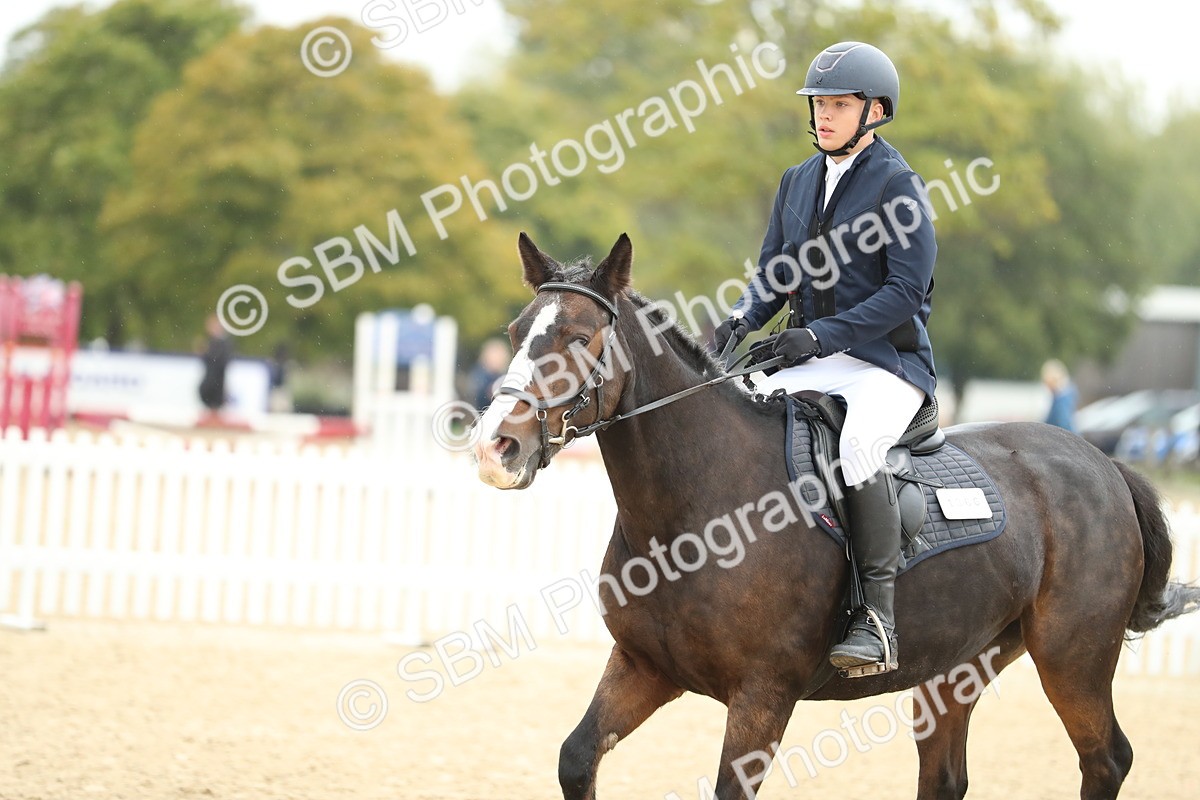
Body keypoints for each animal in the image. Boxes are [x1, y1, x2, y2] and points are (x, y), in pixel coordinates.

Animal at [471, 232, 1200, 799]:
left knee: (1105, 761)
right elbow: (576, 757)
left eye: (578, 338)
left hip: (1074, 657)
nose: (493, 447)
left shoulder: (763, 695)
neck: (693, 510)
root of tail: (1103, 464)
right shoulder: (644, 667)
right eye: (515, 334)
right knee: (946, 776)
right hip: (959, 666)